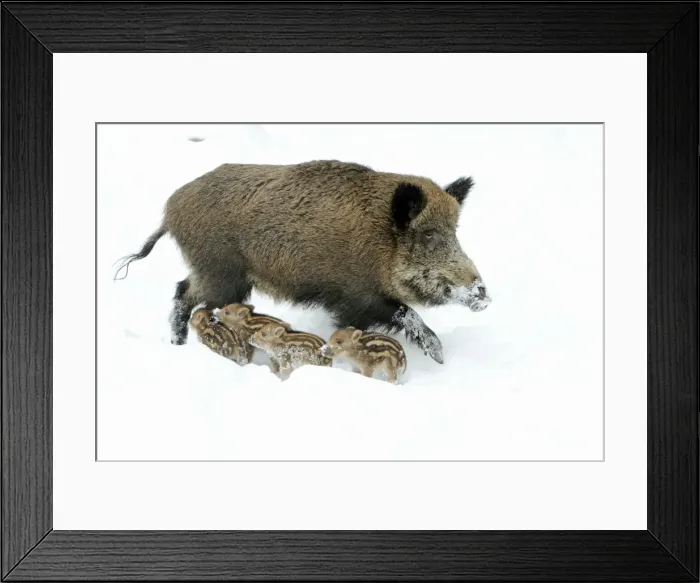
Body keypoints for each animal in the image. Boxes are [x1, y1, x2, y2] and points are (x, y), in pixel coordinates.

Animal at [114, 160, 491, 364]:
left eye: (455, 232)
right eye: (428, 236)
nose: (483, 295)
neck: (381, 242)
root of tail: (171, 207)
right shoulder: (358, 297)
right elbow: (407, 314)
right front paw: (439, 356)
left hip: (219, 275)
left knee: (184, 291)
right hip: (221, 273)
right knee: (187, 298)